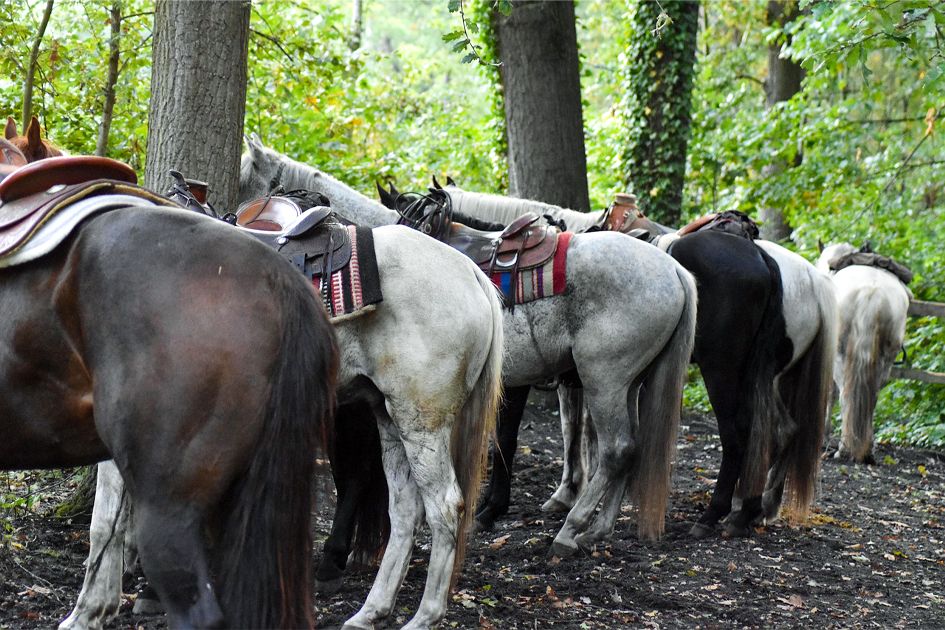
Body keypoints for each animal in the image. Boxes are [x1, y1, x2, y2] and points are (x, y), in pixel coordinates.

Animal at [62, 151, 505, 630]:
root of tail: (471, 273)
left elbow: (105, 522)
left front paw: (88, 611)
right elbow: (116, 520)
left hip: (421, 420)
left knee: (445, 508)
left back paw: (424, 615)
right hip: (388, 416)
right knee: (405, 508)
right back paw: (370, 611)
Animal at [239, 136, 698, 564]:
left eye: (248, 180)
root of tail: (675, 268)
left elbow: (496, 445)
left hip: (605, 381)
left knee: (616, 449)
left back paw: (571, 530)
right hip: (628, 382)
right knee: (630, 447)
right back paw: (597, 528)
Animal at [406, 181, 838, 539]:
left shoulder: (523, 379)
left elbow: (512, 440)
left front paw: (496, 507)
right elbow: (574, 431)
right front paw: (562, 494)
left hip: (717, 370)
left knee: (736, 433)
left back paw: (714, 514)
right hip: (755, 375)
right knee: (780, 430)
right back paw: (753, 509)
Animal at [817, 242, 911, 463]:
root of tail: (873, 293)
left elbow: (830, 395)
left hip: (841, 357)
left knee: (844, 393)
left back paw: (844, 448)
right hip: (885, 360)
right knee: (873, 394)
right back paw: (867, 449)